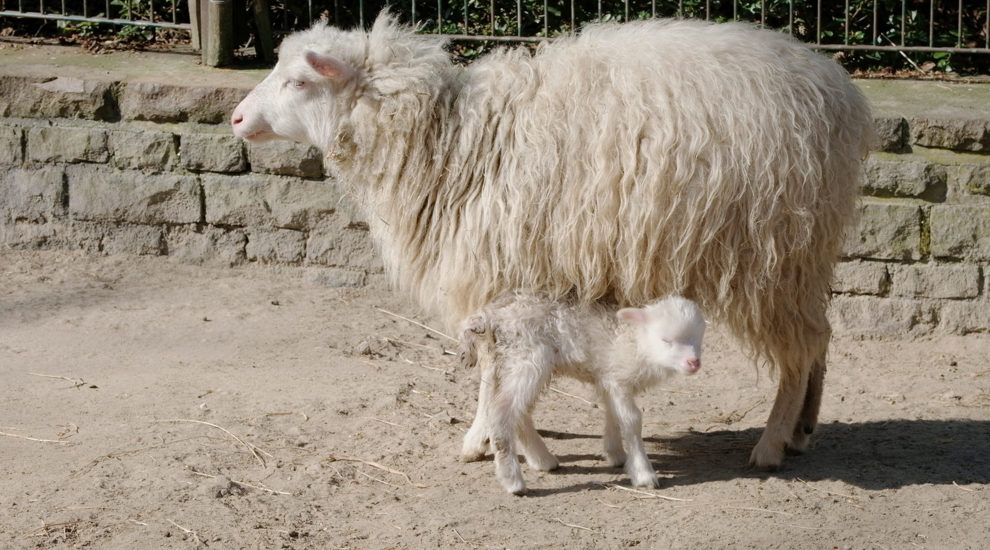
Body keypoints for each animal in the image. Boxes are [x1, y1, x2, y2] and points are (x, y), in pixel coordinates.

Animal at [232, 14, 876, 470]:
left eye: (298, 81)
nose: (237, 120)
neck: (450, 139)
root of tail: (842, 93)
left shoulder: (493, 276)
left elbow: (489, 371)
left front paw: (480, 439)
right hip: (805, 254)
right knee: (819, 338)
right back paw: (802, 432)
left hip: (773, 252)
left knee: (800, 347)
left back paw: (771, 444)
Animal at [460, 294, 704, 496]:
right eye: (666, 340)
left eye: (699, 339)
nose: (694, 363)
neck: (636, 343)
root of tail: (490, 316)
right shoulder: (618, 380)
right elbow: (631, 420)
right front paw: (643, 473)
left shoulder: (607, 379)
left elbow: (613, 414)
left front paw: (615, 454)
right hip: (528, 358)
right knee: (500, 410)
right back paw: (513, 480)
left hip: (514, 362)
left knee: (517, 410)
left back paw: (543, 459)